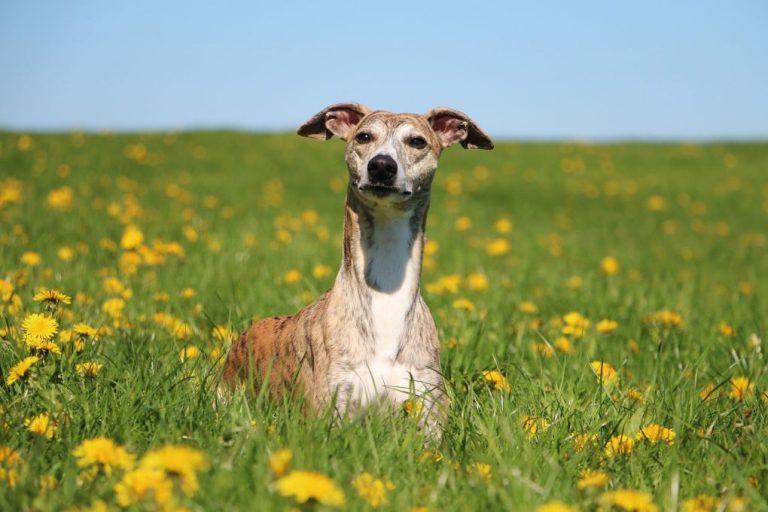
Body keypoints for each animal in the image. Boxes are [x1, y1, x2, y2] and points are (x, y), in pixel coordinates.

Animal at [222, 103, 496, 432]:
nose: (381, 166)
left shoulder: (427, 415)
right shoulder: (332, 411)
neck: (386, 298)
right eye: (364, 136)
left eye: (417, 141)